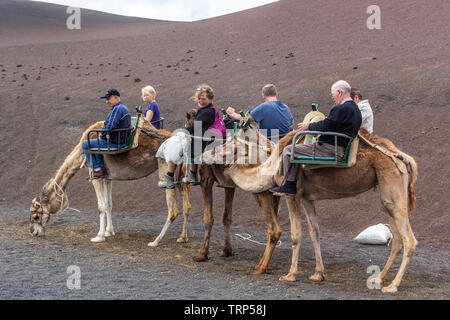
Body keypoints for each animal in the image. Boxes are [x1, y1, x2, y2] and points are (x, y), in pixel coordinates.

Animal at [29, 119, 192, 245]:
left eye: (35, 215)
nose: (33, 232)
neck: (82, 153)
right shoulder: (107, 177)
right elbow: (109, 204)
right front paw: (109, 232)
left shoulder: (95, 176)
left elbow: (101, 206)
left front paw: (99, 236)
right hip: (180, 175)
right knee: (186, 206)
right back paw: (182, 238)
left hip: (166, 171)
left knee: (173, 210)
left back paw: (155, 241)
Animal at [200, 124, 418, 292]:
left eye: (226, 148)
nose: (204, 155)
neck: (273, 166)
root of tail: (404, 157)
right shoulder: (307, 198)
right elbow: (315, 232)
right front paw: (318, 274)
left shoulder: (291, 194)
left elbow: (296, 233)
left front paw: (290, 274)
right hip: (387, 191)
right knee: (397, 239)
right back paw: (379, 278)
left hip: (392, 182)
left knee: (409, 240)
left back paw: (392, 286)